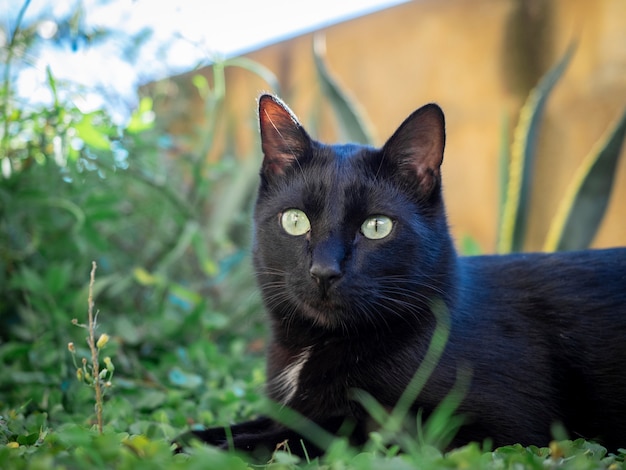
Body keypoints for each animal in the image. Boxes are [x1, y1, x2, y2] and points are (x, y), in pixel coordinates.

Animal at [180, 93, 624, 458]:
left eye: (377, 227)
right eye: (294, 220)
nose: (324, 271)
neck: (314, 345)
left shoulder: (488, 426)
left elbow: (313, 435)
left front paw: (206, 451)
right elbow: (249, 426)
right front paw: (191, 438)